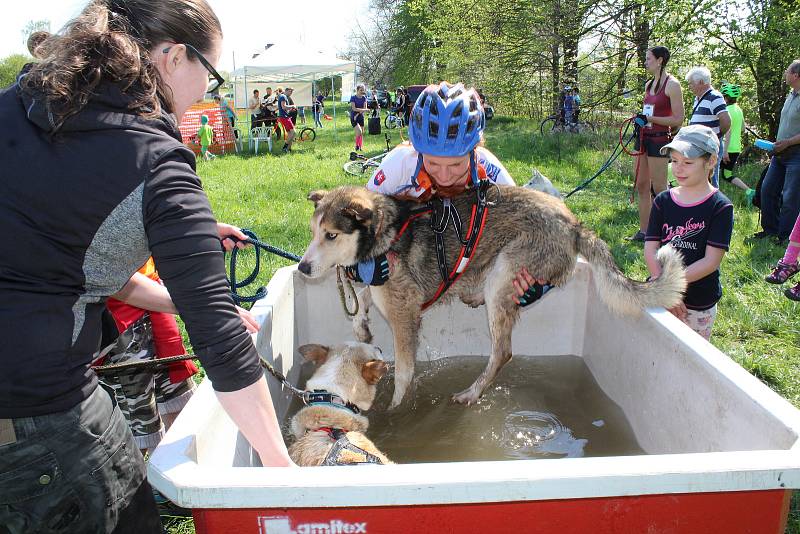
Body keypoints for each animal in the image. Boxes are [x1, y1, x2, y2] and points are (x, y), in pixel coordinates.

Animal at [296, 186, 684, 408]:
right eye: (313, 232)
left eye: (331, 235)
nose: (301, 267)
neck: (384, 234)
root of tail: (574, 223)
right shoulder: (381, 290)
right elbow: (361, 300)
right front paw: (361, 326)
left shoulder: (405, 316)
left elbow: (404, 373)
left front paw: (395, 409)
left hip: (503, 277)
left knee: (503, 352)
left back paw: (472, 392)